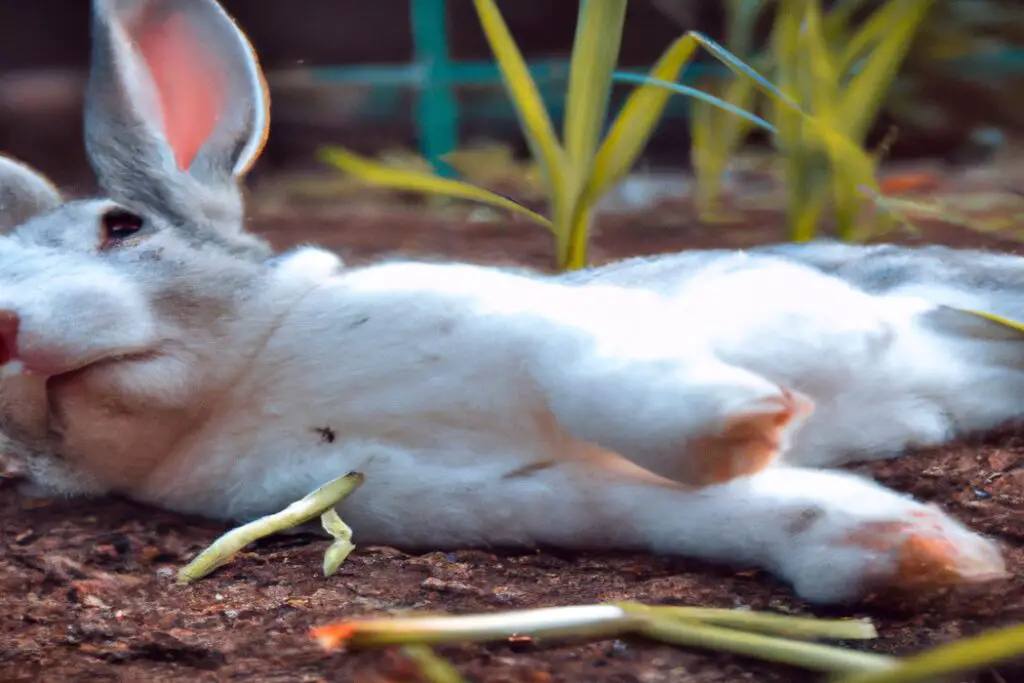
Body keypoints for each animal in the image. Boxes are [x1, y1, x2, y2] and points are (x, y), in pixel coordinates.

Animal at [0, 0, 1008, 606]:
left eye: (121, 226)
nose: (5, 330)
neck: (240, 390)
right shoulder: (508, 487)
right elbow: (696, 507)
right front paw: (914, 552)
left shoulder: (531, 330)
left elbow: (607, 386)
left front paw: (745, 420)